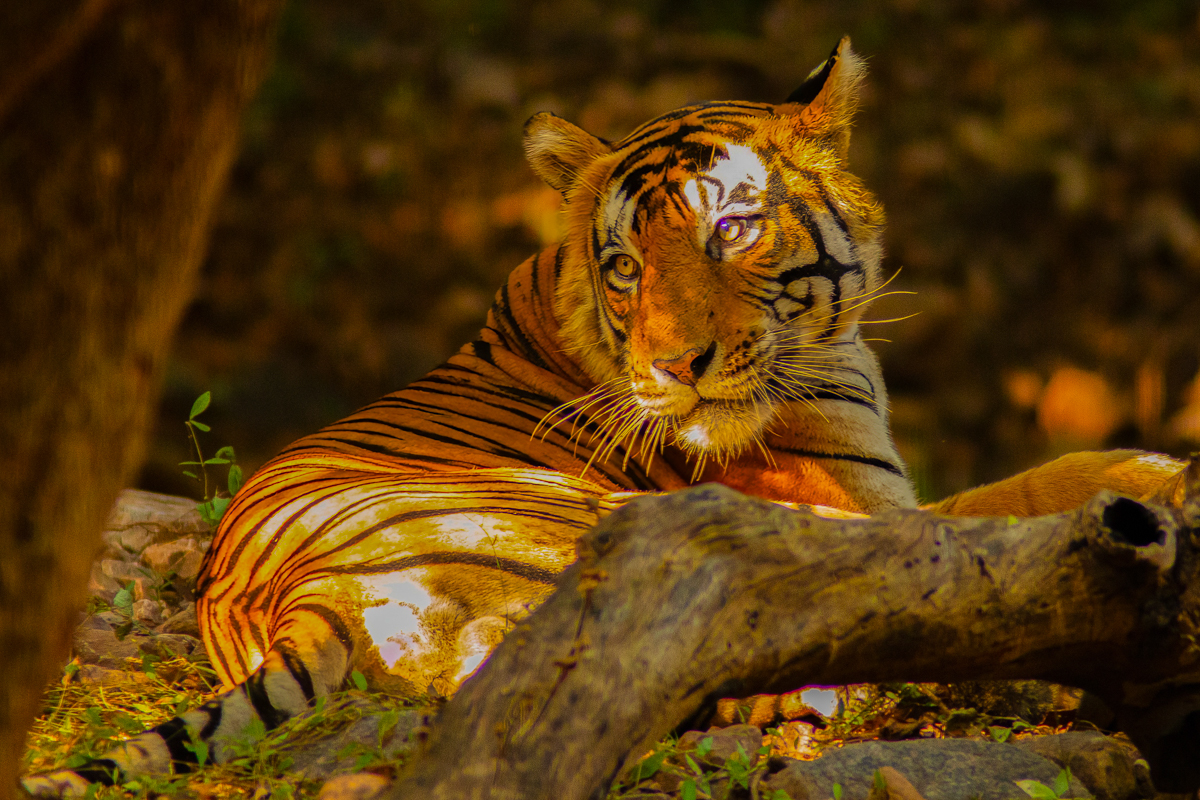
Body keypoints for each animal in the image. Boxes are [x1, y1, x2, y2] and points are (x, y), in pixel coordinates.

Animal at [23, 37, 1183, 796]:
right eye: (626, 267)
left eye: (733, 229)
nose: (675, 365)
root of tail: (300, 605)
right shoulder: (861, 512)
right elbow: (1019, 498)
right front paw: (1155, 472)